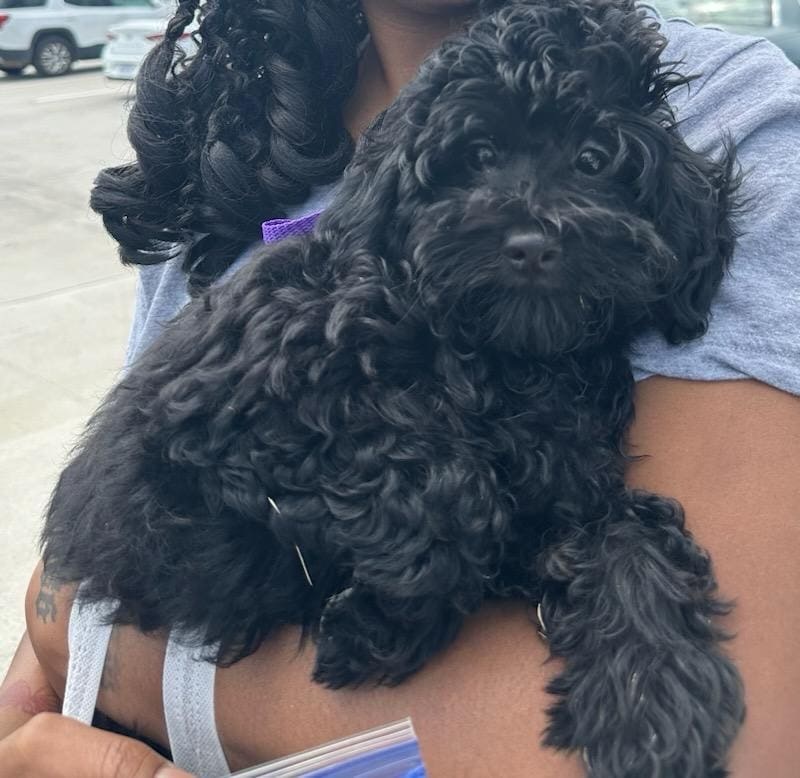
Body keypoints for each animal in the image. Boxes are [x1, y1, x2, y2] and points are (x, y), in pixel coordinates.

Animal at [42, 3, 744, 772]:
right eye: (478, 156)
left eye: (593, 160)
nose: (532, 243)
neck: (499, 358)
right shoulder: (223, 401)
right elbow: (439, 479)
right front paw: (371, 625)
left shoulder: (566, 484)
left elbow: (621, 531)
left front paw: (653, 693)